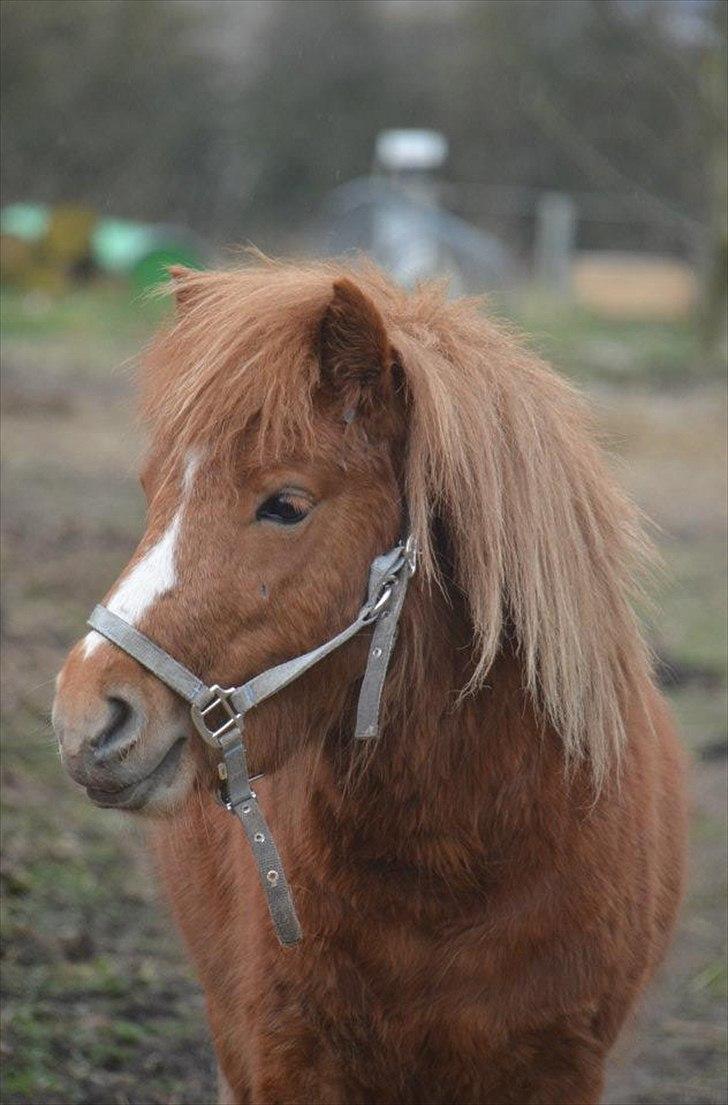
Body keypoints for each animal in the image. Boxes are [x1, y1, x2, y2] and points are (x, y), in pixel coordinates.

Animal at [52, 260, 687, 1105]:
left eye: (286, 504)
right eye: (153, 491)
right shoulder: (289, 1062)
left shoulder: (556, 1068)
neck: (450, 860)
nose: (85, 719)